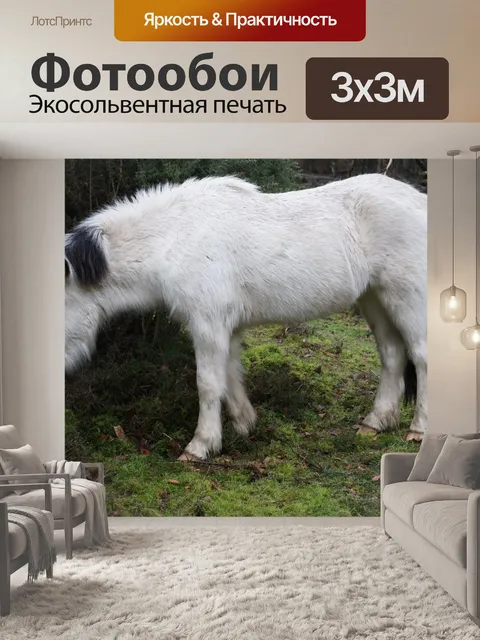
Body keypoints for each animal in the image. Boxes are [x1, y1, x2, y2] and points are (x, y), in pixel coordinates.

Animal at [65, 173, 427, 461]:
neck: (176, 237)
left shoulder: (208, 324)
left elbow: (208, 383)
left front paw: (200, 446)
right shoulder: (225, 327)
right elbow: (230, 376)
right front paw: (244, 424)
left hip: (406, 297)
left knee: (421, 358)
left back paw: (419, 430)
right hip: (375, 298)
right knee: (392, 355)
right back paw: (375, 422)